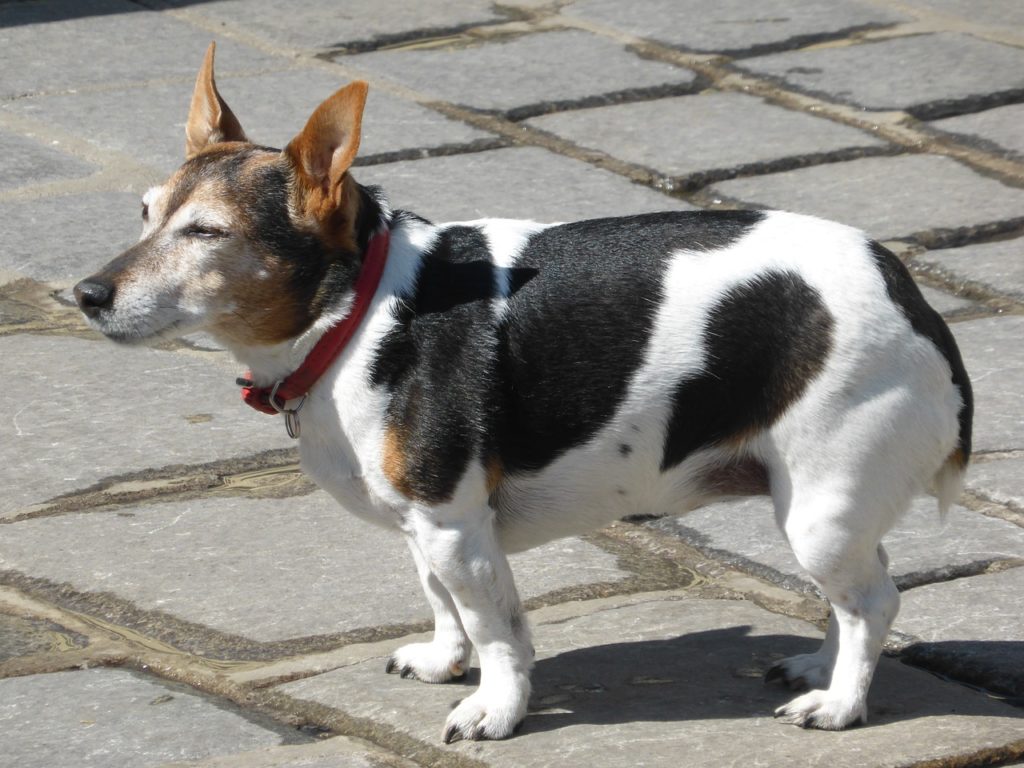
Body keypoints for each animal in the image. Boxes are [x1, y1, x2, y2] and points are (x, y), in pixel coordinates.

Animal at [75, 43, 970, 745]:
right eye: (146, 214)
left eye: (206, 234)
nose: (86, 294)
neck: (355, 314)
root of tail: (905, 290)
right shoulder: (428, 527)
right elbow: (441, 603)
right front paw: (443, 662)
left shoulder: (455, 530)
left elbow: (497, 629)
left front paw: (494, 711)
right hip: (828, 513)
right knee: (854, 598)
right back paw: (821, 663)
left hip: (819, 510)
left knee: (874, 601)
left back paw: (841, 703)